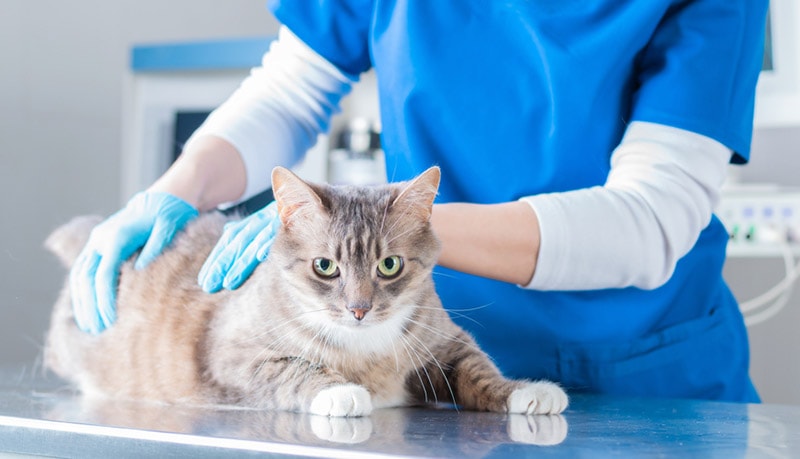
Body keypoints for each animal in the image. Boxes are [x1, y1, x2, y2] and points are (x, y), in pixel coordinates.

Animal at [45, 165, 568, 416]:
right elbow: (294, 369)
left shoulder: (444, 342)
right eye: (325, 266)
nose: (359, 309)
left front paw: (526, 392)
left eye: (389, 264)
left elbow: (478, 369)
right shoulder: (232, 357)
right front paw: (341, 393)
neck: (365, 349)